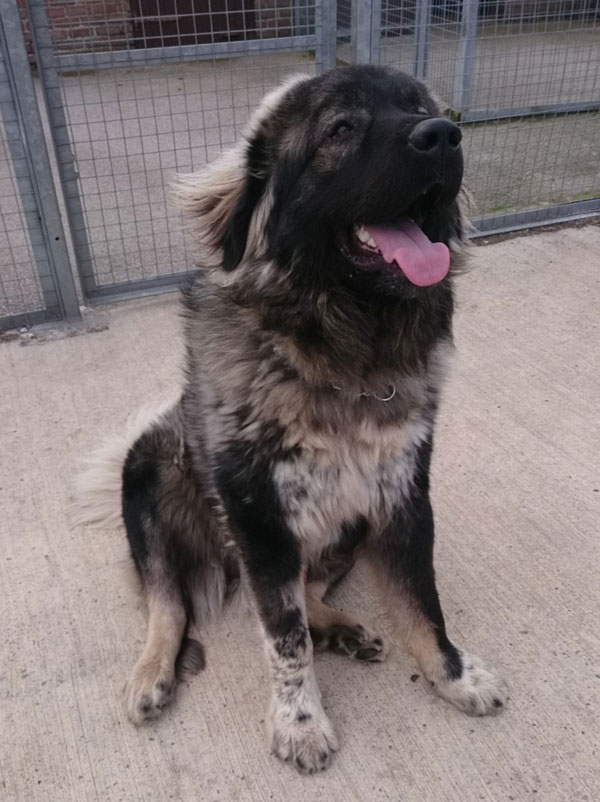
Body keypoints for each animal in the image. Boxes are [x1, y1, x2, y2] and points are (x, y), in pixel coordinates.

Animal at [76, 65, 506, 772]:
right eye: (340, 129)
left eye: (420, 106)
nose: (444, 135)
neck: (342, 356)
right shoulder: (261, 522)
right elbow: (283, 638)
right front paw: (300, 722)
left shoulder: (400, 495)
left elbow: (423, 605)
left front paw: (453, 676)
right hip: (147, 477)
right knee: (169, 603)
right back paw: (151, 675)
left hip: (347, 523)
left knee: (312, 591)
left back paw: (343, 629)